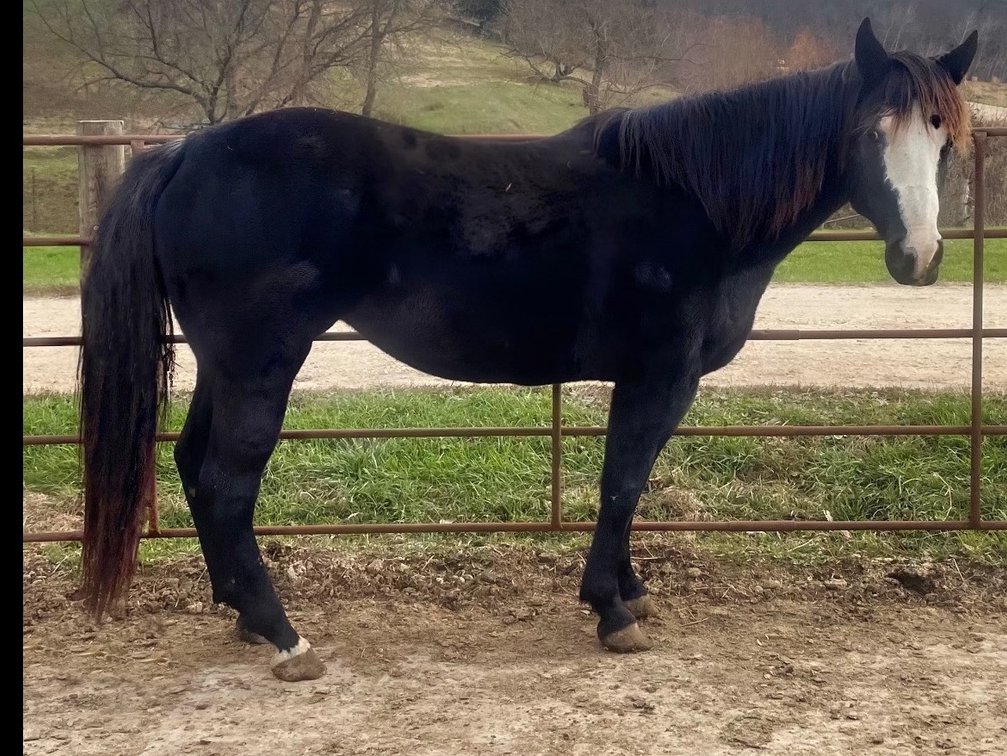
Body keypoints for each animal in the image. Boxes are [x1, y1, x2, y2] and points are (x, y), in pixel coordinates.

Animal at [78, 18, 977, 681]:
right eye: (870, 132)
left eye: (943, 141)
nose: (919, 258)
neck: (693, 201)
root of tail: (185, 150)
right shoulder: (660, 376)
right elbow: (621, 484)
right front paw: (611, 613)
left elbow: (629, 485)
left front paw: (631, 593)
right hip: (262, 362)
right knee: (228, 485)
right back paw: (284, 637)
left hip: (223, 364)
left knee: (193, 467)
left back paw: (238, 615)